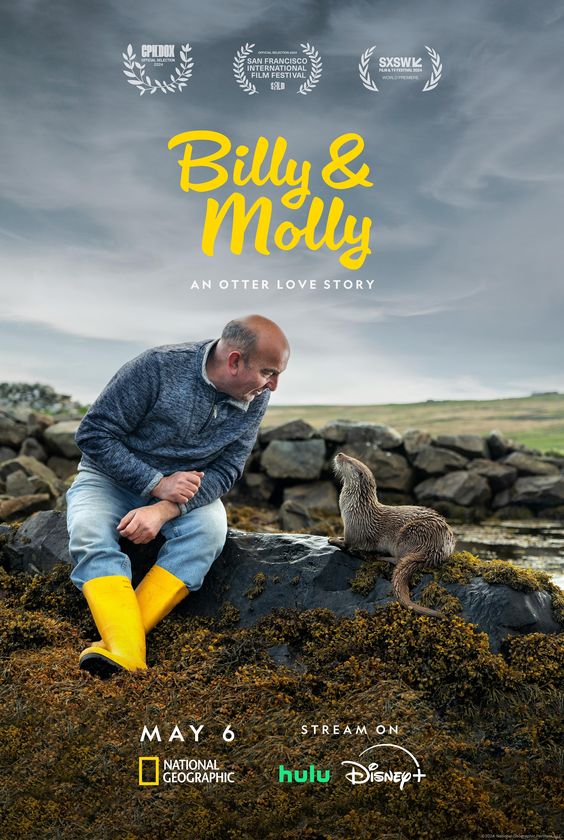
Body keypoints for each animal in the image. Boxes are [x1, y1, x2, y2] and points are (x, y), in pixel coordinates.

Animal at [330, 452, 456, 618]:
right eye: (349, 456)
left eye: (350, 461)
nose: (340, 454)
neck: (356, 507)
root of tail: (437, 547)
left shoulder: (353, 528)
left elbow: (348, 544)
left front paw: (334, 539)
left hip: (409, 534)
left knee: (399, 559)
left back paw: (382, 557)